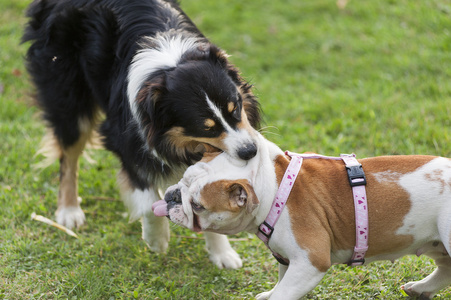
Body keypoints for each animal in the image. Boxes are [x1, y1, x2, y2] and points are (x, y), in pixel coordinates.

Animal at [23, 0, 262, 268]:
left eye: (236, 108)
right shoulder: (126, 140)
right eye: (206, 127)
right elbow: (147, 201)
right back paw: (69, 211)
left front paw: (222, 253)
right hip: (67, 91)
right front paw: (156, 240)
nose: (250, 151)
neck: (170, 61)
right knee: (69, 153)